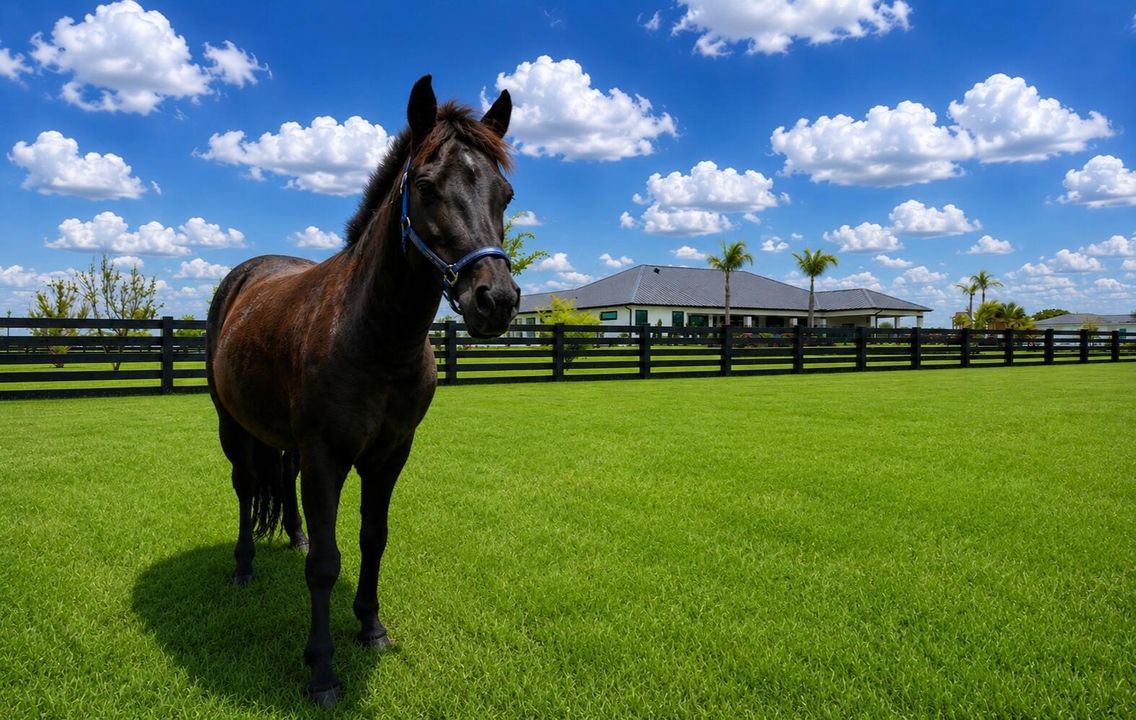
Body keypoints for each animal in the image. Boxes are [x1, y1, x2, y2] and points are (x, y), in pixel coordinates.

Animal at [205, 75, 519, 705]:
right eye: (425, 187)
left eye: (506, 194)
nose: (495, 300)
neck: (371, 335)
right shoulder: (327, 456)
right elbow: (326, 564)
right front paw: (322, 670)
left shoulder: (390, 454)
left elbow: (374, 537)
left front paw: (370, 625)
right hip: (233, 426)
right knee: (247, 489)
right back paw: (244, 566)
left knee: (281, 483)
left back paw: (293, 538)